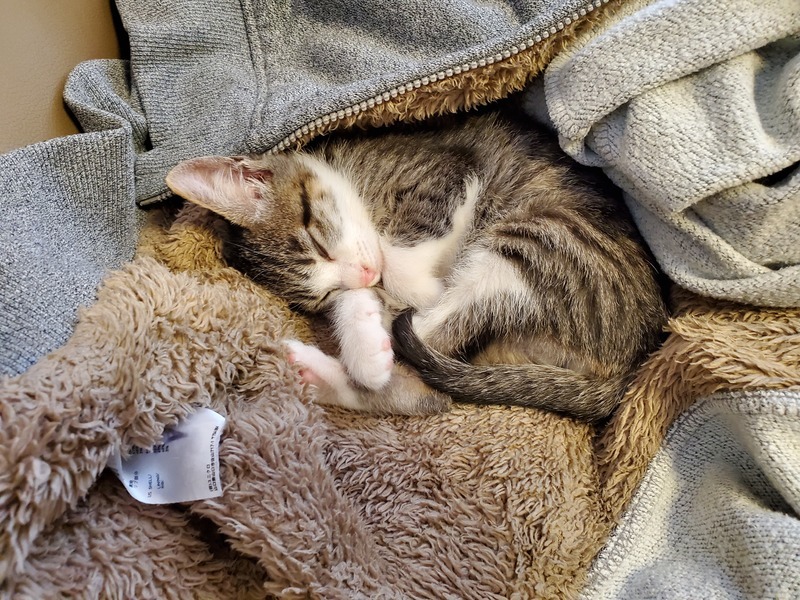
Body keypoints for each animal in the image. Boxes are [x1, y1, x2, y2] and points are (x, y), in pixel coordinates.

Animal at [165, 108, 667, 421]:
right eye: (323, 294)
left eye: (319, 243)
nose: (366, 277)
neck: (356, 177)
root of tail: (635, 358)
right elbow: (372, 294)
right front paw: (364, 331)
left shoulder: (442, 174)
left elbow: (403, 257)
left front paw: (403, 292)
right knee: (428, 389)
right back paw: (325, 368)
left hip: (539, 241)